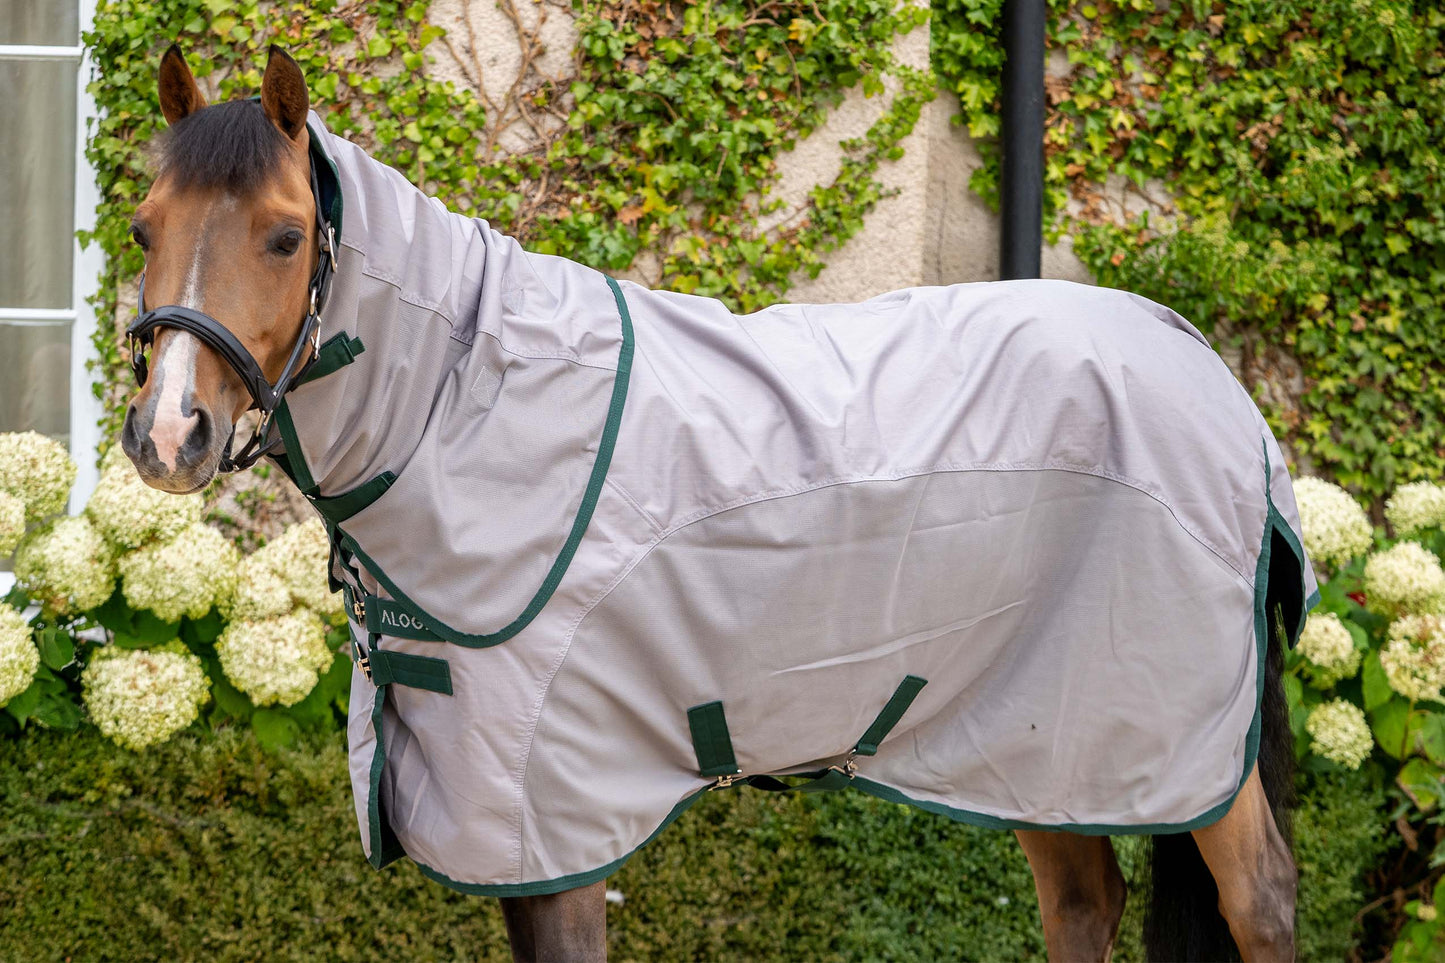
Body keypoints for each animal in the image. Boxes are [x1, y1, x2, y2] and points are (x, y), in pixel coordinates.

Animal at [121, 44, 1311, 961]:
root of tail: (1204, 370)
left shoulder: (549, 812)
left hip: (1165, 735)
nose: (168, 434)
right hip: (1036, 746)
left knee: (1257, 901)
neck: (468, 403)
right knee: (1080, 900)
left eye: (285, 235)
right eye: (142, 228)